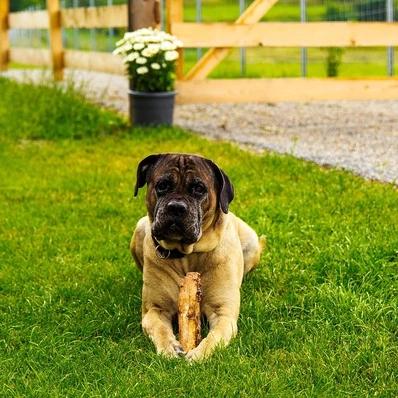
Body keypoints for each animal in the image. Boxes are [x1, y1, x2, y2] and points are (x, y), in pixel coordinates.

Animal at [131, 153, 266, 360]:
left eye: (199, 188)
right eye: (162, 185)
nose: (176, 207)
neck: (188, 254)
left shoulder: (223, 313)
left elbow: (215, 337)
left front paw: (198, 355)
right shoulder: (154, 309)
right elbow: (158, 328)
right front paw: (169, 348)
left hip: (251, 241)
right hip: (139, 227)